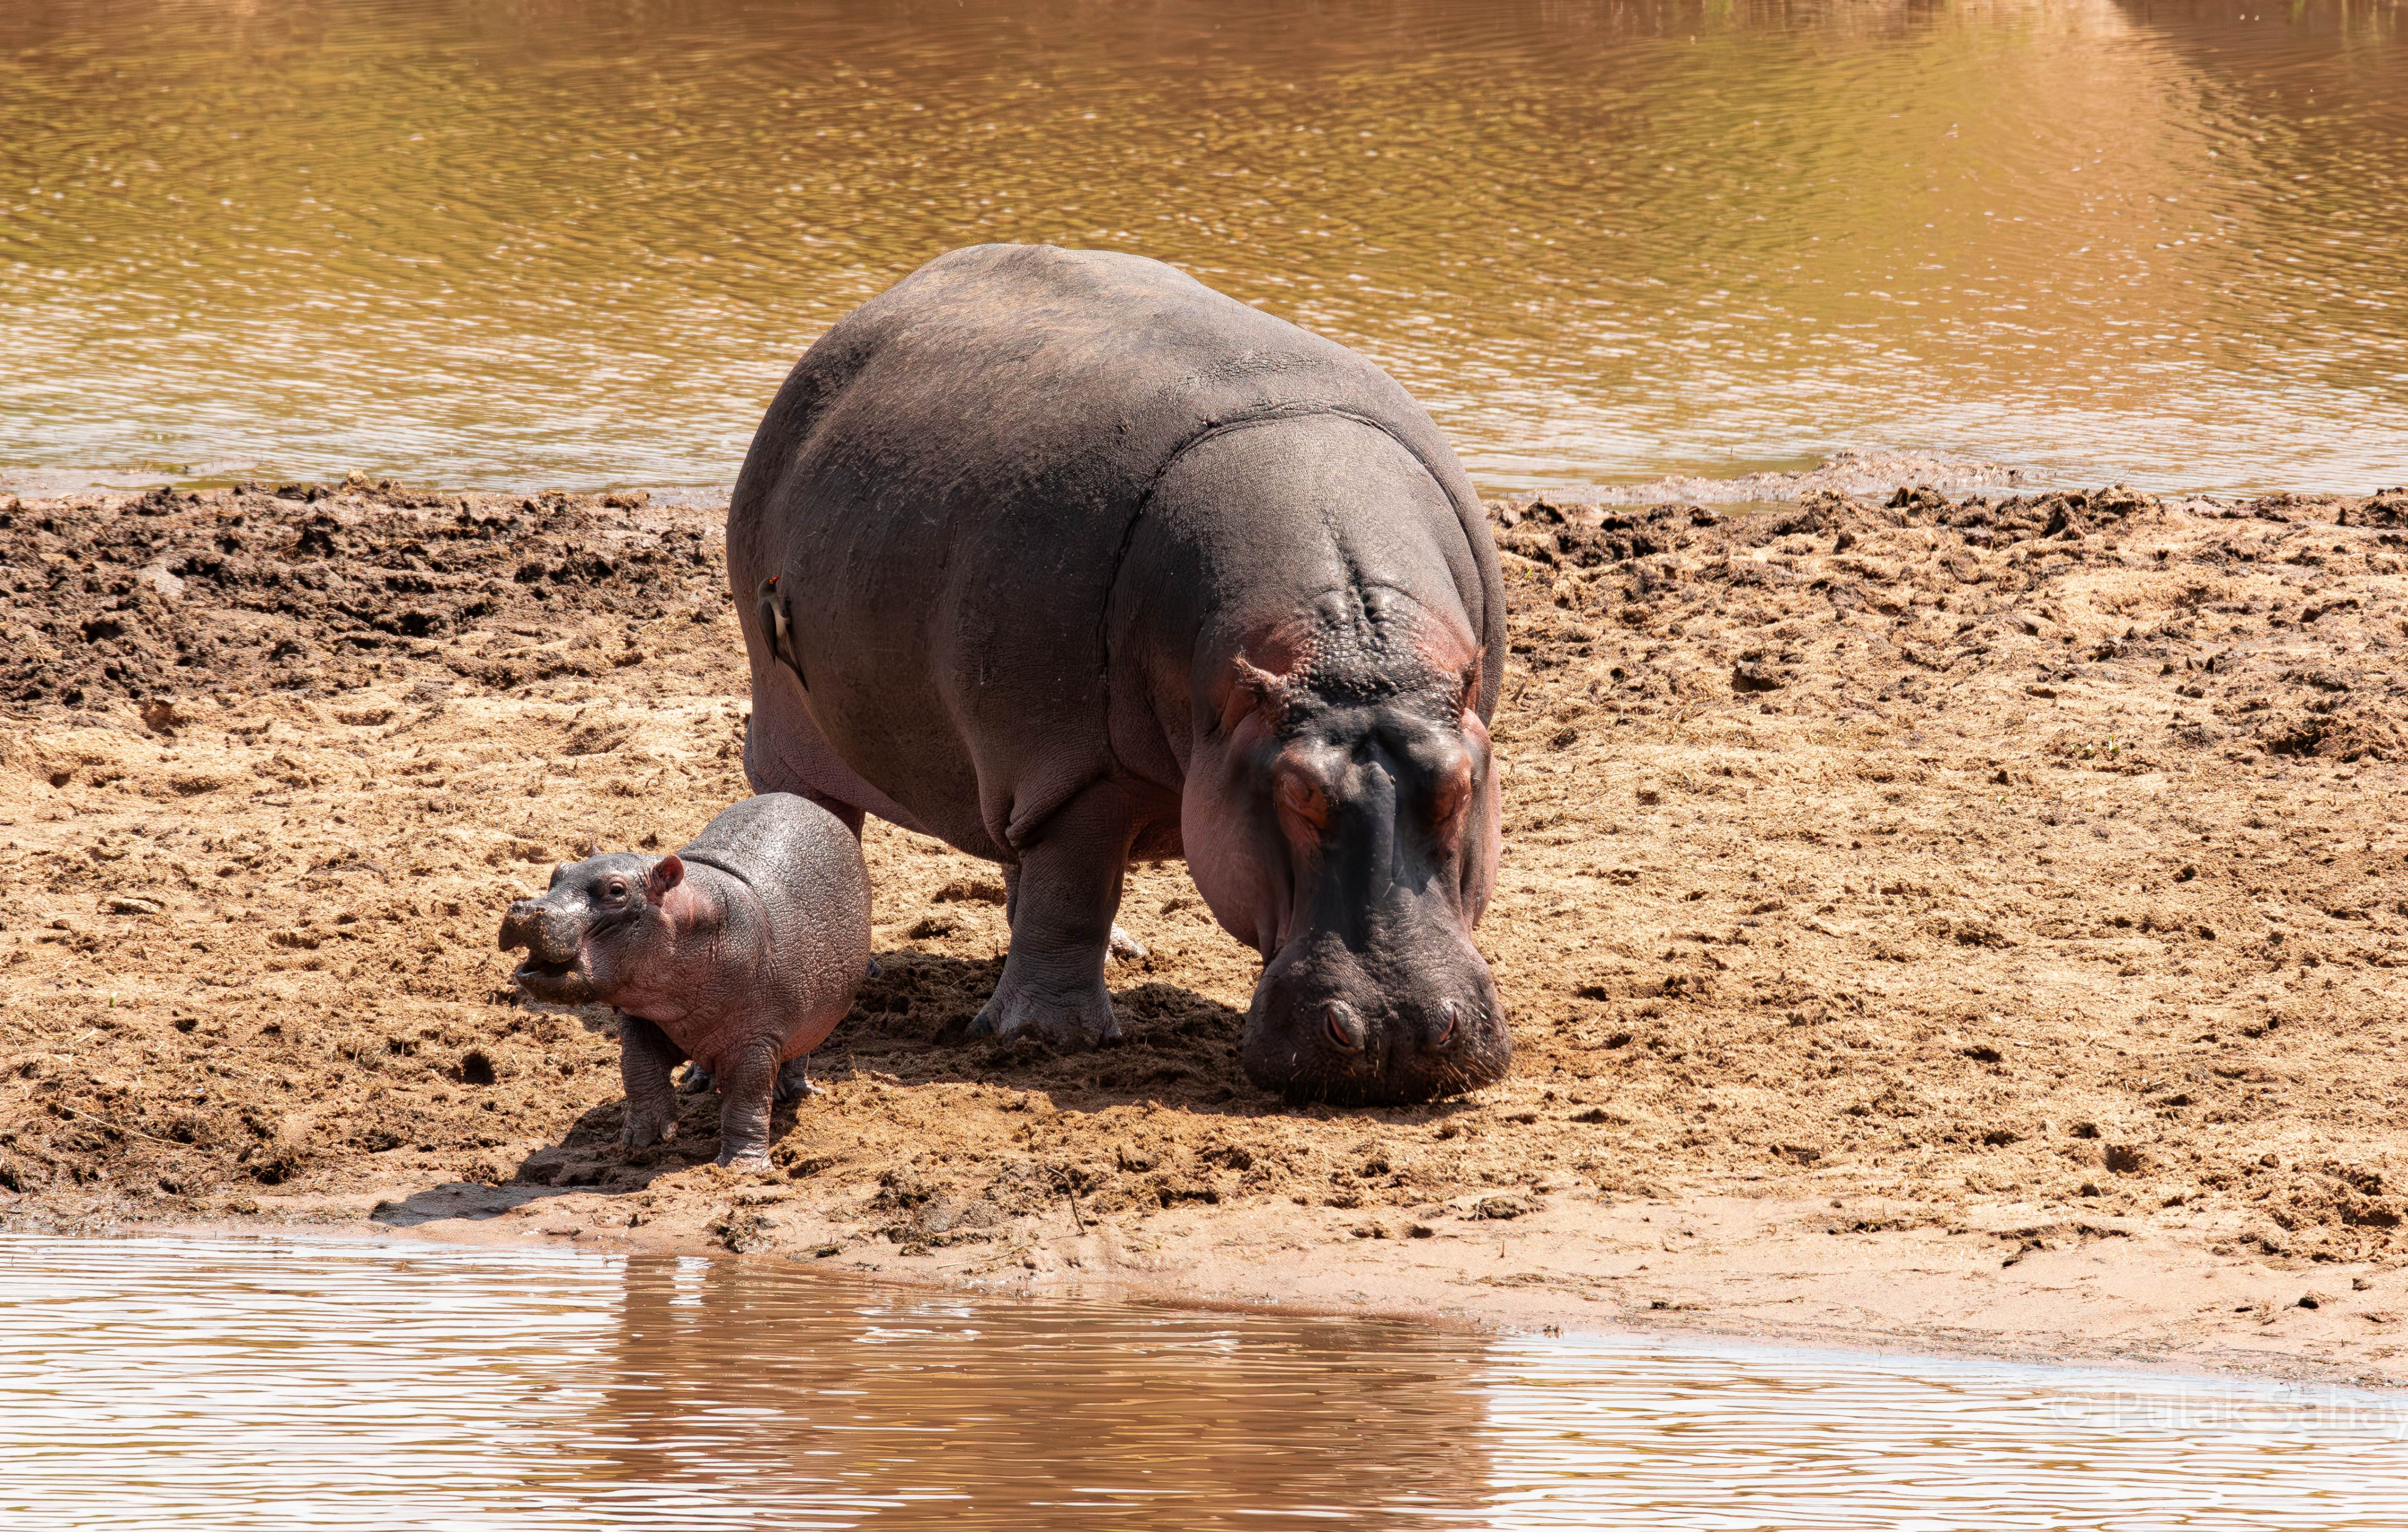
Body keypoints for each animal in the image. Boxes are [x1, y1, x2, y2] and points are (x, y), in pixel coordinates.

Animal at [498, 793, 871, 1166]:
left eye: (616, 890)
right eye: (558, 871)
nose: (524, 909)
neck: (690, 916)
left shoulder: (759, 1037)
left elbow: (748, 1100)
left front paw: (744, 1167)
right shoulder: (641, 1017)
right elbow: (638, 1071)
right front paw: (639, 1143)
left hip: (812, 1016)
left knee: (798, 1052)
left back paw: (795, 1092)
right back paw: (697, 1081)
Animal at [729, 244, 1508, 1106]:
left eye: (1460, 788)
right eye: (1297, 794)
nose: (1397, 1032)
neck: (1350, 654)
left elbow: (1060, 886)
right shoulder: (1076, 768)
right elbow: (1074, 888)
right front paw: (1046, 1039)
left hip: (1007, 758)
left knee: (1018, 854)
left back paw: (1119, 952)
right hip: (801, 722)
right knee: (828, 814)